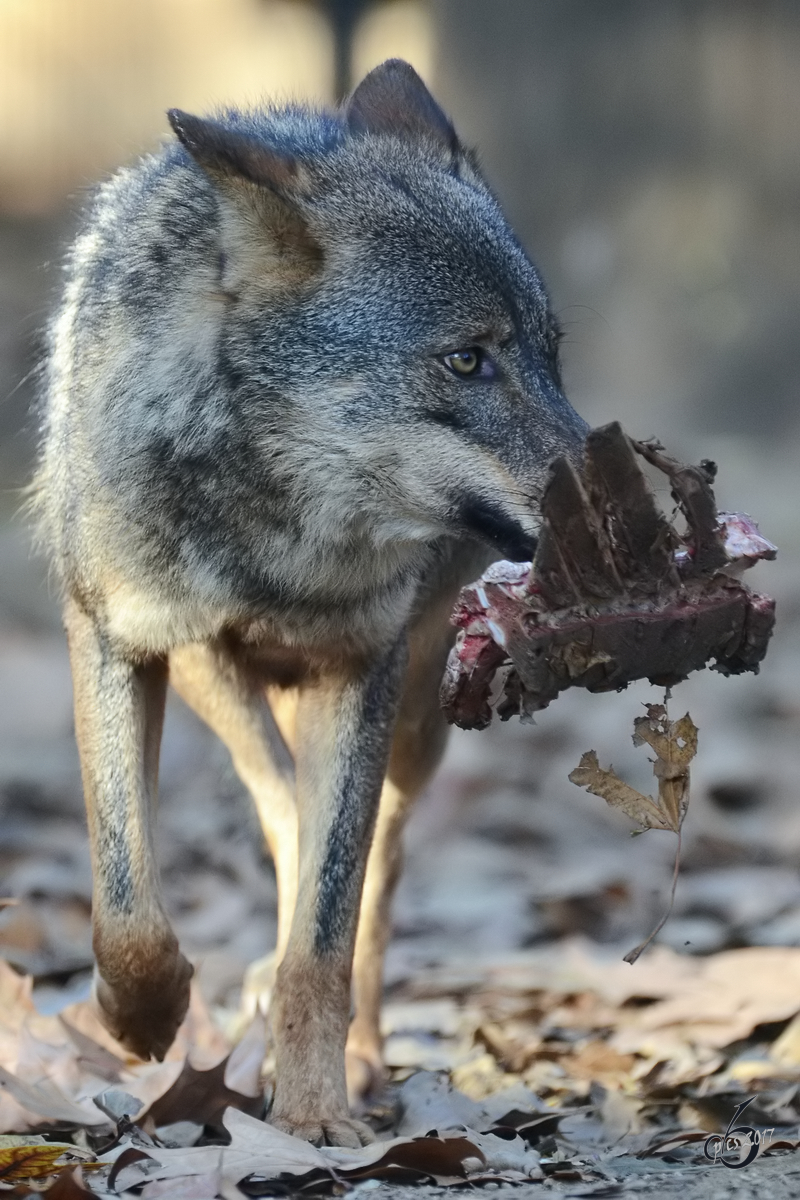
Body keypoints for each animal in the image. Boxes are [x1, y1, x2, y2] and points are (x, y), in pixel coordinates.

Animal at [32, 60, 587, 1147]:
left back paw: (360, 1057)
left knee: (365, 872)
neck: (281, 531)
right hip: (214, 679)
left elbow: (324, 939)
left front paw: (319, 1112)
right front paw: (142, 1019)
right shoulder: (113, 641)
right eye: (468, 360)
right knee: (279, 807)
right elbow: (127, 903)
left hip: (413, 720)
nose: (625, 490)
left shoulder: (361, 668)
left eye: (552, 355)